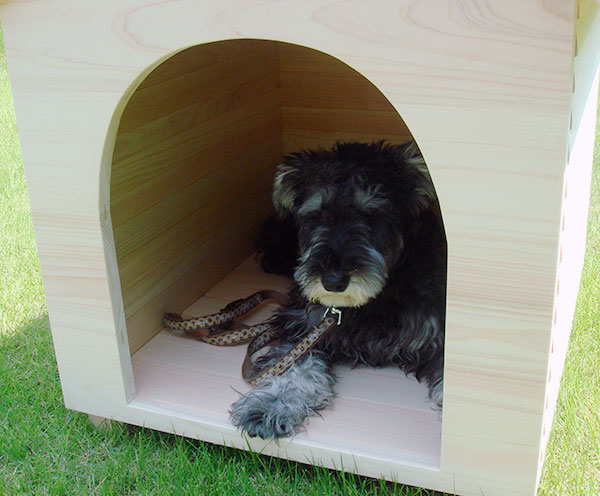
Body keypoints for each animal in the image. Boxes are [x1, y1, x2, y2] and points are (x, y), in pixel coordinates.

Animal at [230, 140, 446, 438]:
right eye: (316, 215)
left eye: (372, 215)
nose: (333, 282)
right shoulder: (303, 324)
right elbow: (293, 364)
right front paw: (272, 404)